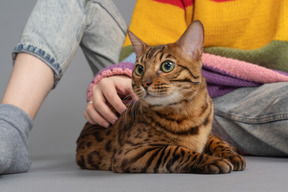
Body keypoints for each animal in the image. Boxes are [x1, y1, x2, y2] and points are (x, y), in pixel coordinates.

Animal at [76, 20, 245, 173]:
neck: (189, 111)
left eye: (167, 66)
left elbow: (216, 140)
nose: (145, 82)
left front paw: (231, 155)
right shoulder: (130, 152)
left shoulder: (208, 134)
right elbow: (177, 150)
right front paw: (212, 160)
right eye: (139, 69)